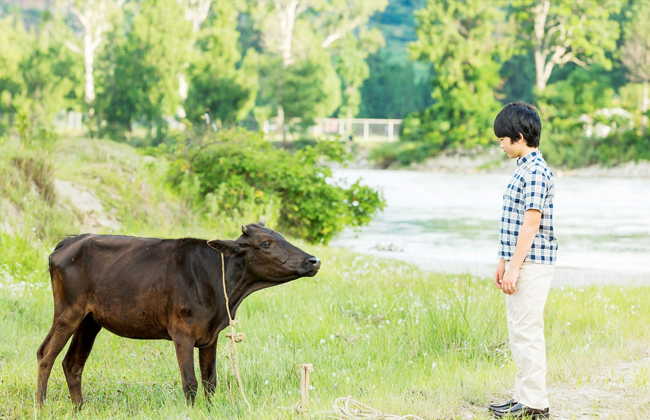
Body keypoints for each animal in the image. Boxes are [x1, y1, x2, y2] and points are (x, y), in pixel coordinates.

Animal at [36, 223, 318, 406]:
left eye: (281, 236)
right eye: (266, 243)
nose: (313, 260)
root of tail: (71, 240)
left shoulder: (211, 335)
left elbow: (210, 380)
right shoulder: (182, 331)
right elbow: (190, 381)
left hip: (90, 320)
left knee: (72, 363)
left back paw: (79, 408)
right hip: (68, 311)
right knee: (45, 354)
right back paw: (41, 406)